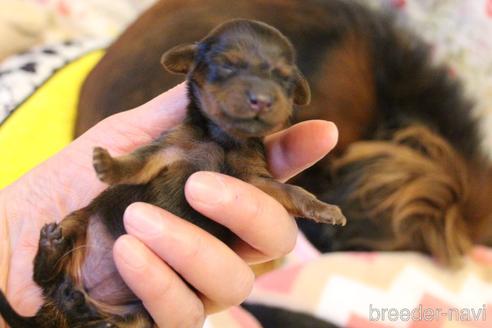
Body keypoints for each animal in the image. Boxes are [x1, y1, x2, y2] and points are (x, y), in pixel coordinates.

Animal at [0, 20, 346, 328]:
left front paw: (324, 209)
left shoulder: (254, 179)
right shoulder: (168, 150)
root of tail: (64, 303)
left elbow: (289, 192)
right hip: (78, 220)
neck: (221, 140)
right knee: (41, 276)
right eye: (227, 64)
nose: (262, 100)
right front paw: (107, 164)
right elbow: (136, 163)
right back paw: (50, 246)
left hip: (138, 316)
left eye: (285, 79)